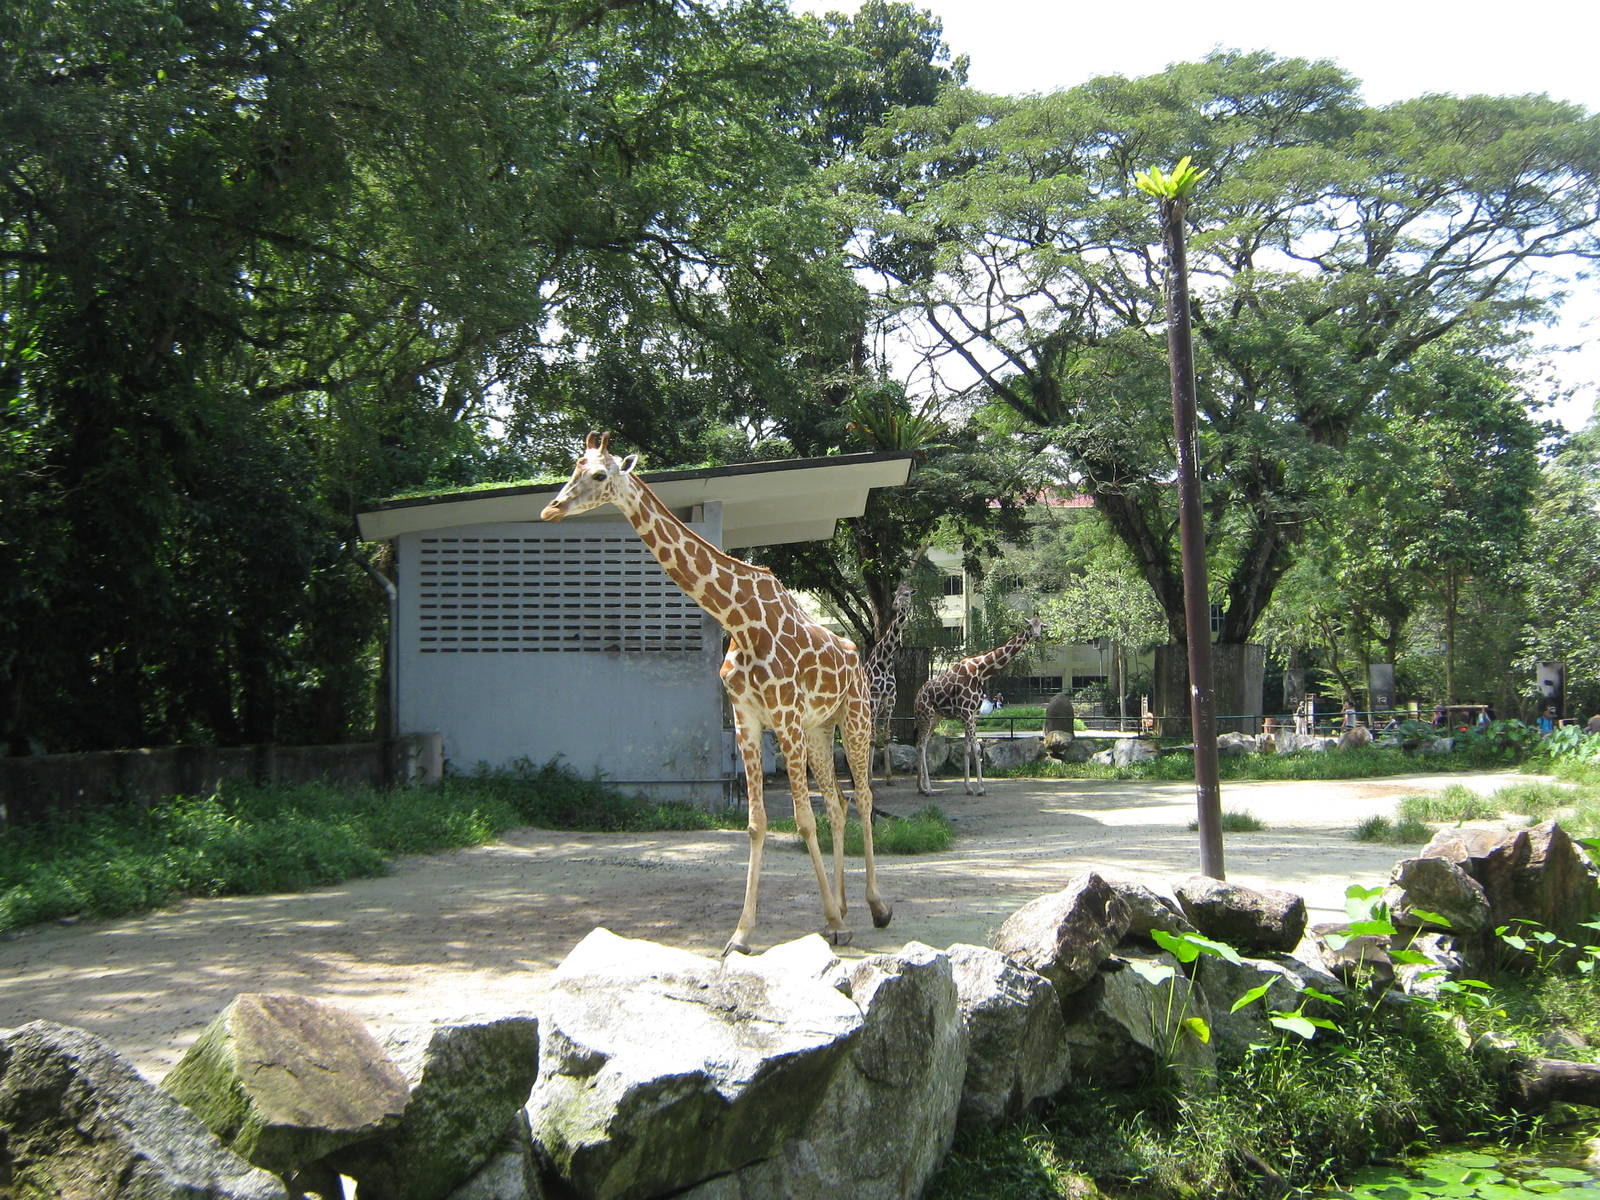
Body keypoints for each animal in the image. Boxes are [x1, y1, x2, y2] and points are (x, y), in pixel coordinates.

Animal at [540, 433, 891, 955]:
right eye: (573, 468)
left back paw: (874, 907)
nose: (552, 509)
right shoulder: (748, 720)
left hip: (855, 717)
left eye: (600, 474)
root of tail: (856, 656)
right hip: (819, 729)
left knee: (864, 798)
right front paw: (743, 933)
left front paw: (826, 920)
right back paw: (845, 908)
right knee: (838, 803)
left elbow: (800, 819)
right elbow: (757, 822)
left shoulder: (784, 717)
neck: (739, 620)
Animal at [915, 616, 1045, 796]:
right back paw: (929, 789)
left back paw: (921, 787)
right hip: (925, 716)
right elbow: (976, 749)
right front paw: (981, 788)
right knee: (921, 745)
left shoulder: (973, 715)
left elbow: (967, 748)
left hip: (936, 718)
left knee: (923, 744)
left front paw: (970, 788)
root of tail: (917, 696)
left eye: (1042, 626)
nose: (1038, 637)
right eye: (1030, 625)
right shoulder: (967, 714)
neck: (980, 671)